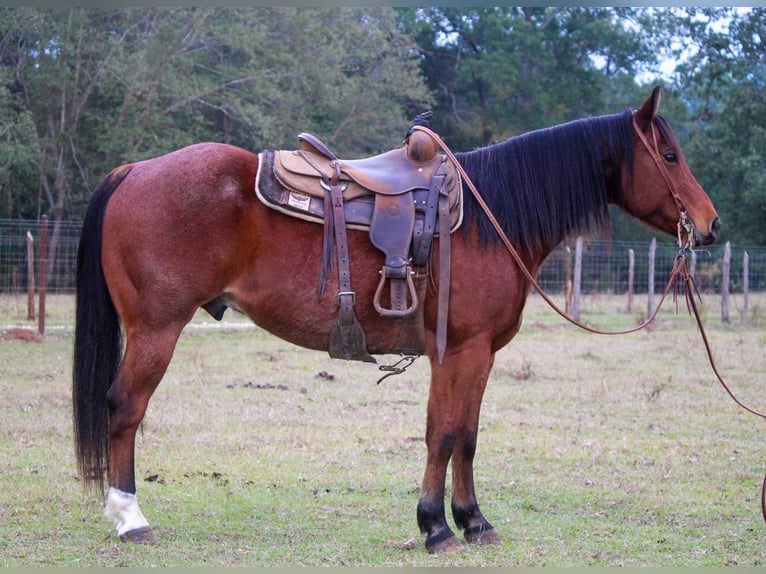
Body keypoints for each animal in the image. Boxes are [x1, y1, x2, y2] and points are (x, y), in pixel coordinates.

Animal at [70, 88, 720, 556]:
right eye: (669, 156)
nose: (710, 225)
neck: (489, 217)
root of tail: (135, 170)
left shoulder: (478, 355)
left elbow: (468, 436)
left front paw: (474, 522)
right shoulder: (460, 351)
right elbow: (443, 435)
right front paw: (436, 527)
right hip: (156, 330)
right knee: (125, 409)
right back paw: (130, 518)